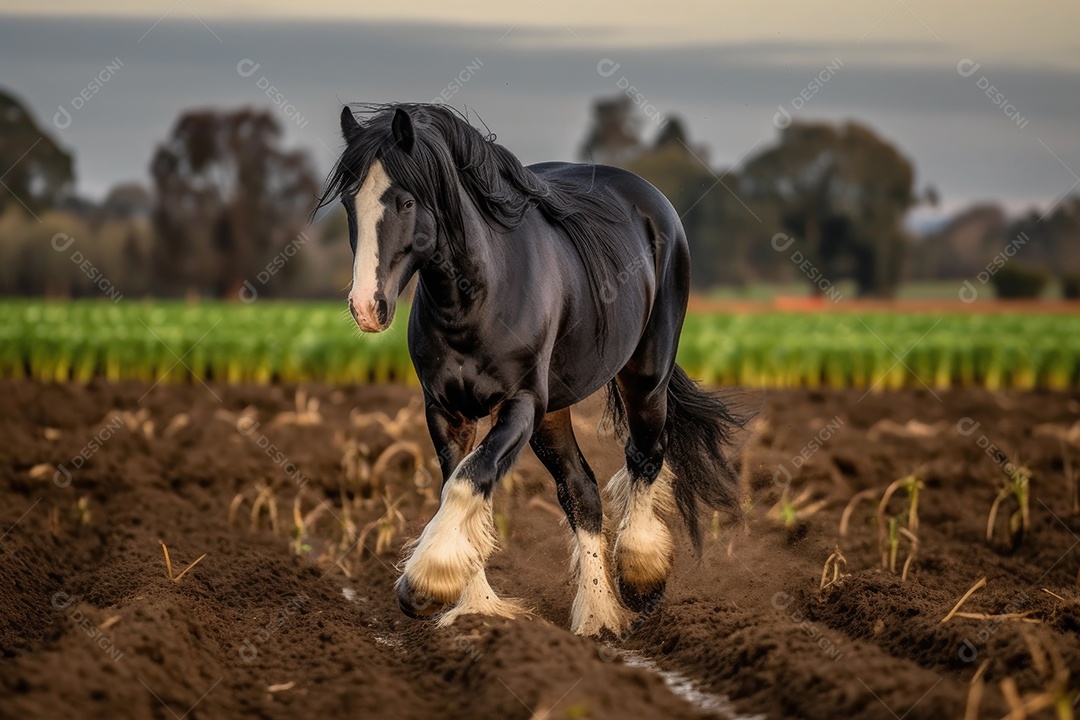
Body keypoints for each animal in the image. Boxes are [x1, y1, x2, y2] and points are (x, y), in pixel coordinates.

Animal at [316, 103, 744, 636]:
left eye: (406, 200)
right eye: (350, 202)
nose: (366, 308)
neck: (476, 299)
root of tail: (651, 199)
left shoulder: (519, 404)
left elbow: (471, 479)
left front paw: (425, 583)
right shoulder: (446, 410)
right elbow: (460, 485)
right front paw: (472, 607)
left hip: (644, 378)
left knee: (645, 456)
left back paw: (641, 578)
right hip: (553, 413)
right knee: (580, 491)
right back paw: (596, 615)